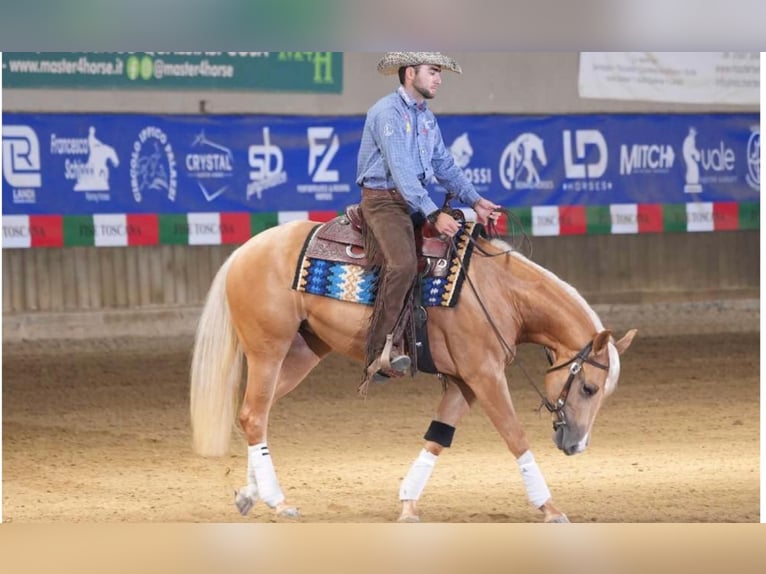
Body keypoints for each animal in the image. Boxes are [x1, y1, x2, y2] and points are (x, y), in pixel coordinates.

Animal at [189, 218, 640, 524]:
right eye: (588, 387)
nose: (576, 445)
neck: (501, 293)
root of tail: (244, 251)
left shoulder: (464, 382)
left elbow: (438, 437)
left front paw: (407, 503)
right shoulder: (485, 375)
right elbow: (515, 436)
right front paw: (550, 508)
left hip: (302, 352)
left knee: (255, 413)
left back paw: (253, 495)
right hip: (269, 350)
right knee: (253, 414)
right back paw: (278, 501)